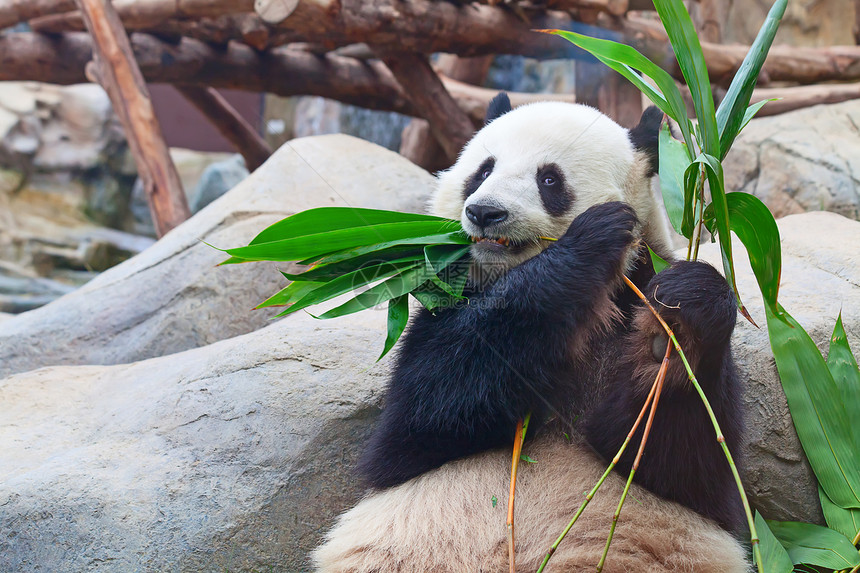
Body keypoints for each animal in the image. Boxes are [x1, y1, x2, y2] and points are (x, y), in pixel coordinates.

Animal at [312, 95, 748, 572]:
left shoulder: (634, 295)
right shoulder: (443, 309)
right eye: (483, 170)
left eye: (549, 179)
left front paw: (678, 322)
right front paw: (590, 243)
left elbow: (685, 466)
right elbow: (423, 414)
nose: (485, 212)